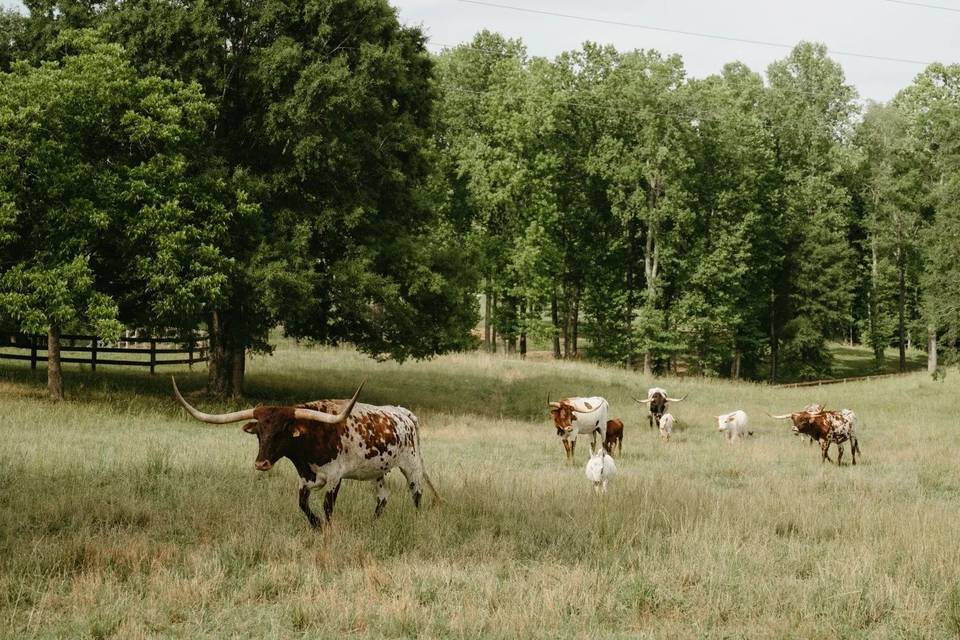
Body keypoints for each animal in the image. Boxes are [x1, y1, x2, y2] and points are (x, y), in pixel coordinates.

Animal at [171, 377, 440, 528]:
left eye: (282, 432)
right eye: (259, 433)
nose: (261, 464)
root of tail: (404, 413)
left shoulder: (334, 477)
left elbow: (328, 506)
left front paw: (327, 529)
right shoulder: (304, 478)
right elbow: (302, 504)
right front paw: (315, 525)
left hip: (411, 465)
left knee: (417, 494)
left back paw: (417, 521)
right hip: (377, 471)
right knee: (383, 498)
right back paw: (373, 524)